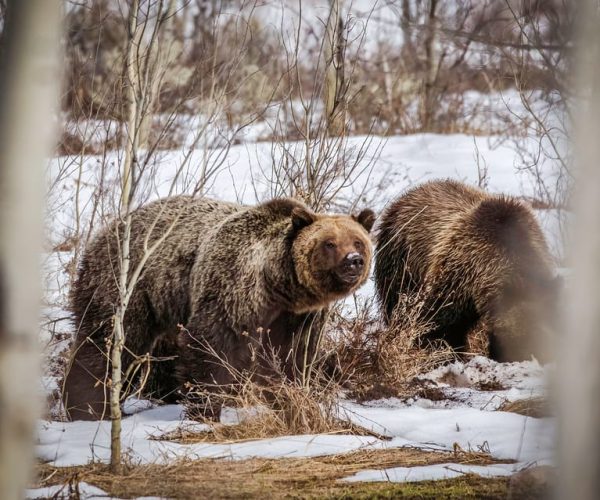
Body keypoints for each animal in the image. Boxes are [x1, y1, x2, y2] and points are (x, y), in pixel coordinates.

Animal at [65, 195, 376, 418]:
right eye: (329, 243)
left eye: (358, 241)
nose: (353, 260)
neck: (279, 286)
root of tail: (104, 231)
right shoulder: (234, 289)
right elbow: (211, 345)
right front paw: (206, 408)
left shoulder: (298, 317)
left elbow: (292, 357)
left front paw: (290, 397)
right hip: (126, 285)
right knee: (109, 344)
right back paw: (87, 407)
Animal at [376, 180, 556, 364]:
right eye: (519, 341)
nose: (529, 358)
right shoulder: (459, 278)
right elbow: (438, 326)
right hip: (401, 262)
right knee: (397, 306)